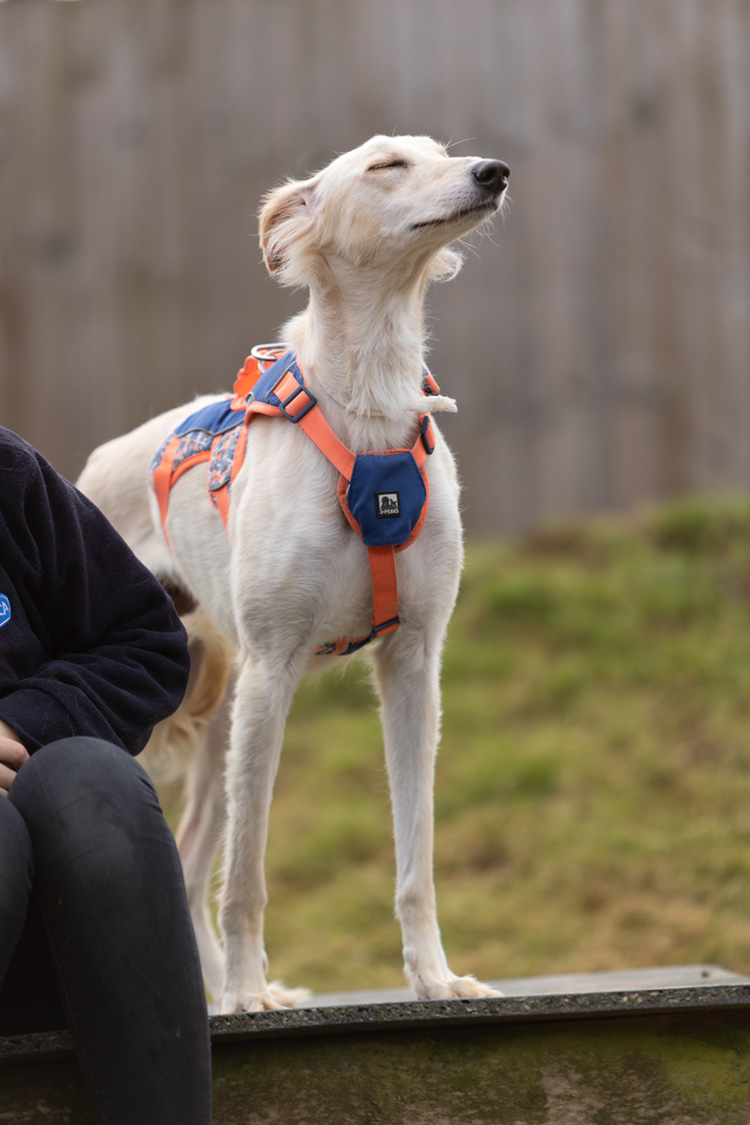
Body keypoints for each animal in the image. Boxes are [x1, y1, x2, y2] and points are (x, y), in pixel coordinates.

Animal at [77, 133, 510, 1012]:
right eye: (387, 165)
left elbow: (416, 855)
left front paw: (434, 976)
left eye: (442, 152)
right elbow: (248, 872)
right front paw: (249, 991)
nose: (494, 173)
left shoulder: (413, 663)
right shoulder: (273, 671)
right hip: (181, 713)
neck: (369, 404)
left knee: (188, 859)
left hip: (218, 722)